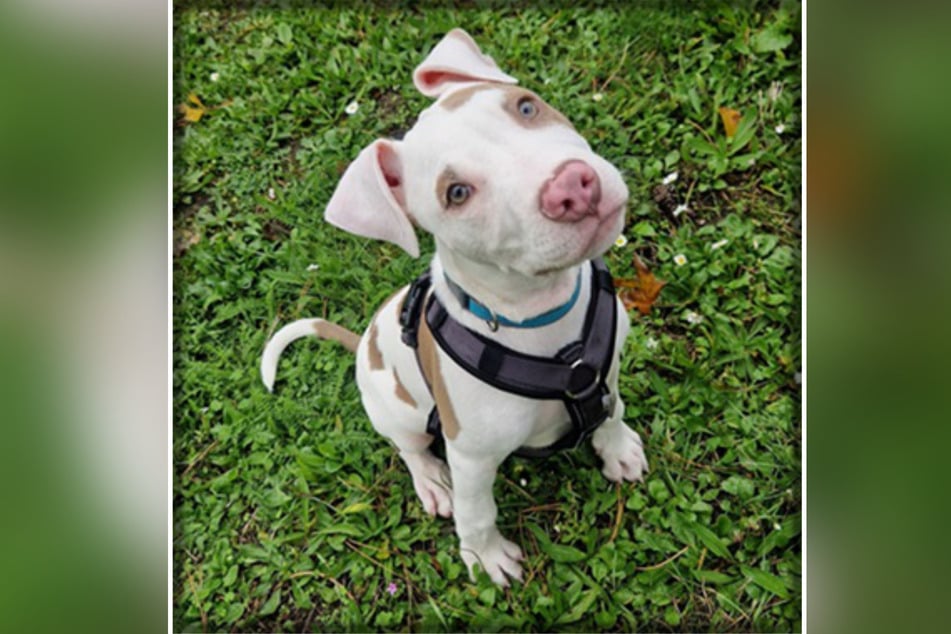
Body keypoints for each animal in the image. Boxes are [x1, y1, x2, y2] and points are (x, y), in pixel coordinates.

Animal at [260, 28, 648, 584]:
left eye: (526, 106)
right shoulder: (472, 457)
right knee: (409, 449)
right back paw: (430, 480)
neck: (545, 317)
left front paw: (617, 449)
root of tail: (363, 344)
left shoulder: (608, 369)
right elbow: (477, 512)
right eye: (457, 193)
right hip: (396, 411)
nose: (573, 187)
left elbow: (612, 411)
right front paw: (486, 558)